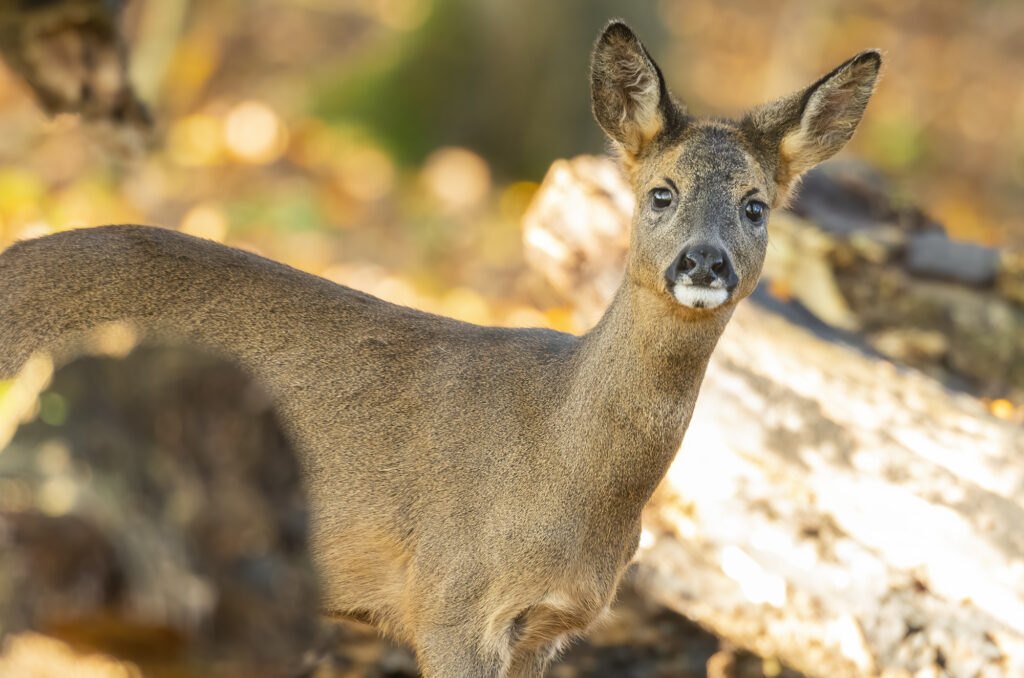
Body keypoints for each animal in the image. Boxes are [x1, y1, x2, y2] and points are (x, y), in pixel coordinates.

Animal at [0, 21, 880, 678]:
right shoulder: (452, 599)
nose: (704, 263)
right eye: (660, 193)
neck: (562, 460)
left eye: (756, 206)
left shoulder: (542, 629)